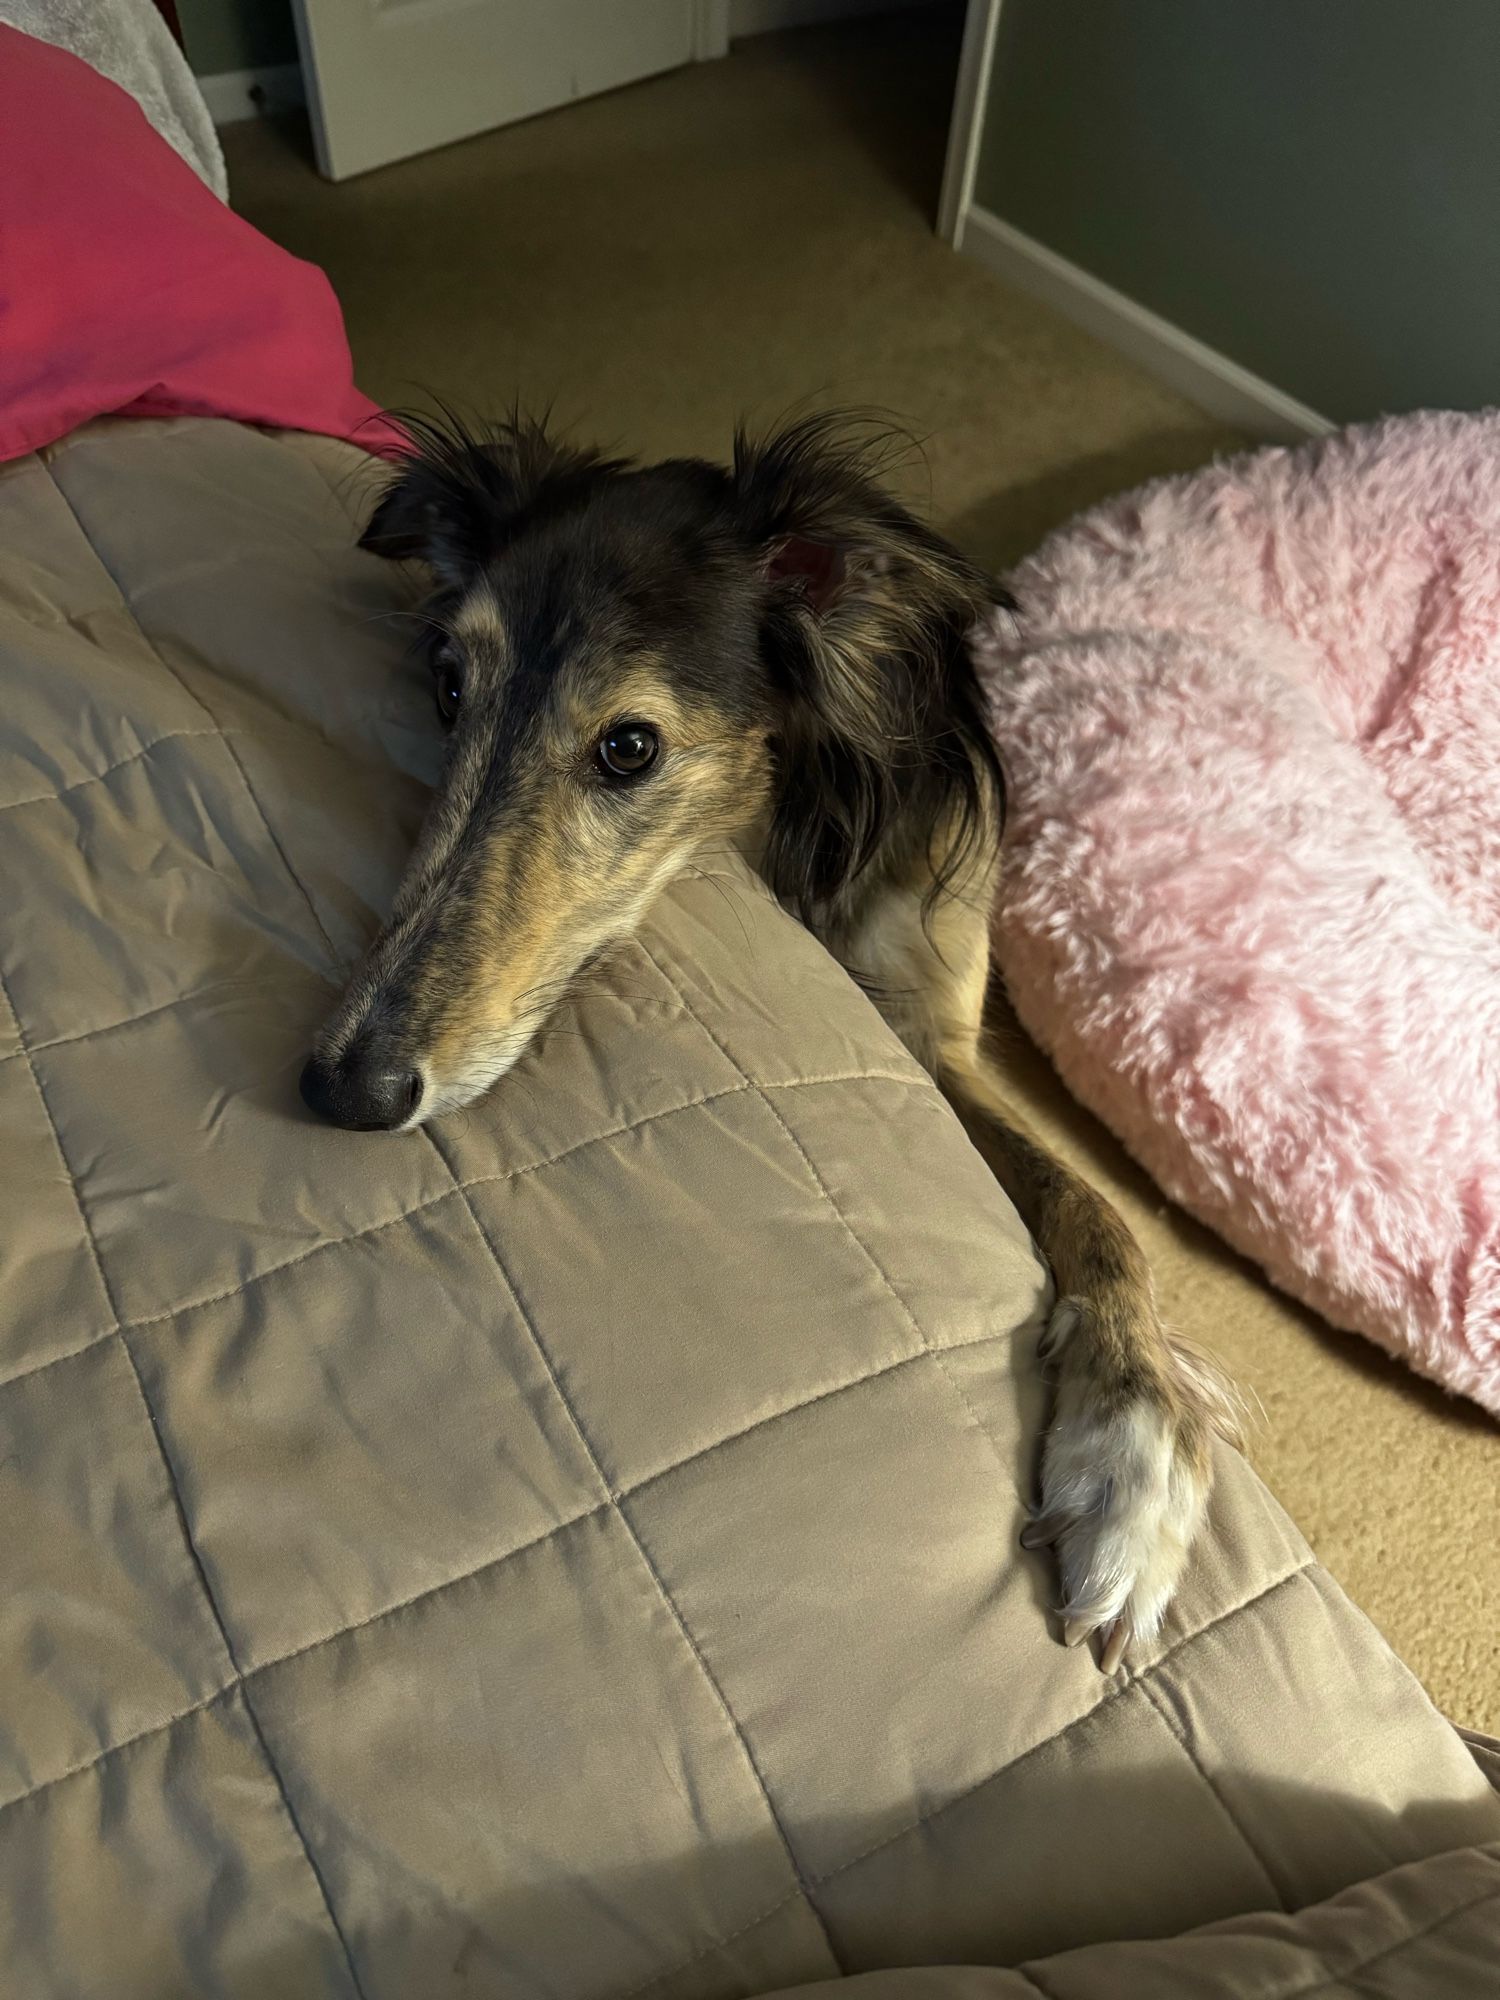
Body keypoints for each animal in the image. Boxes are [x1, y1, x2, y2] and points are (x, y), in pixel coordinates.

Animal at [302, 410, 1248, 1672]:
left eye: (629, 747)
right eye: (450, 687)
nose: (345, 1083)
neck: (793, 828)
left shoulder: (929, 1029)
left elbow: (1098, 1208)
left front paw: (1134, 1463)